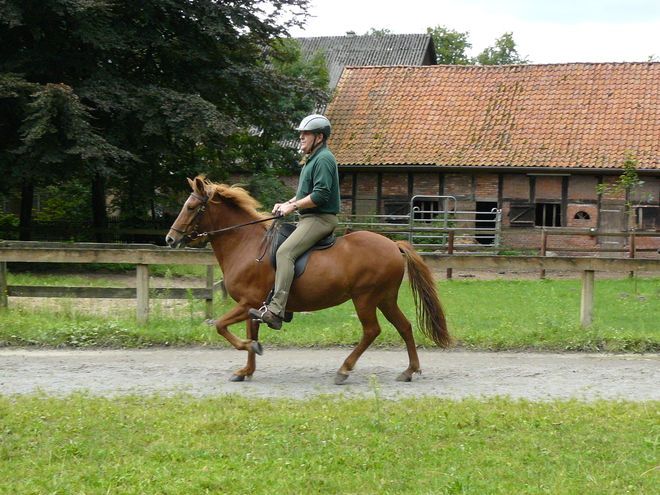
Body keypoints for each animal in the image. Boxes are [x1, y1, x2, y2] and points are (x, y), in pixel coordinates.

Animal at [166, 176, 454, 386]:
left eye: (191, 207)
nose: (170, 239)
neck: (246, 243)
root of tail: (393, 245)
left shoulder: (248, 302)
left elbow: (221, 326)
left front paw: (251, 348)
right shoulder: (251, 307)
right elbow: (247, 332)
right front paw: (246, 369)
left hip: (365, 298)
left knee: (372, 331)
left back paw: (344, 370)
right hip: (385, 298)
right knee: (404, 327)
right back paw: (410, 370)